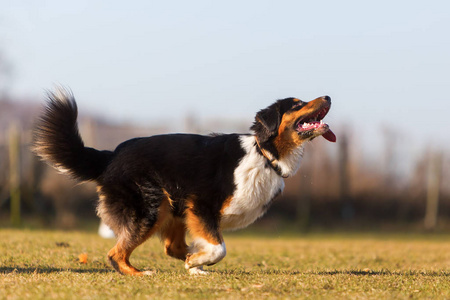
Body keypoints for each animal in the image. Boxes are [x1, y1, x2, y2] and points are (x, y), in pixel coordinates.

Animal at [32, 88, 334, 276]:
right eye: (297, 104)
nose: (328, 96)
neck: (264, 154)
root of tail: (111, 155)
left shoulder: (195, 211)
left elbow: (205, 246)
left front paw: (195, 262)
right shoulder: (202, 204)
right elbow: (219, 247)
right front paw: (200, 259)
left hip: (172, 207)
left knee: (171, 247)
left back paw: (192, 266)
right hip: (149, 209)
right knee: (115, 254)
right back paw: (141, 273)